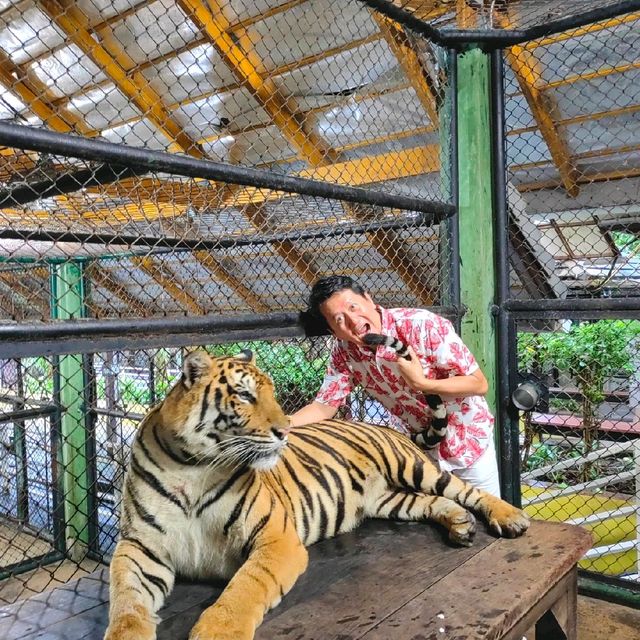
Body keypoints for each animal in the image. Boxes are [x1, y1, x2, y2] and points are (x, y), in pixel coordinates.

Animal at [105, 350, 528, 640]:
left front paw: (218, 631)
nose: (285, 430)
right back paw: (459, 525)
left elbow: (244, 588)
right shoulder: (140, 546)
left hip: (412, 466)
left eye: (272, 393)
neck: (192, 467)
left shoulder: (276, 538)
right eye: (244, 395)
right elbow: (126, 599)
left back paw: (510, 518)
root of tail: (386, 427)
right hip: (388, 499)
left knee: (466, 490)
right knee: (432, 502)